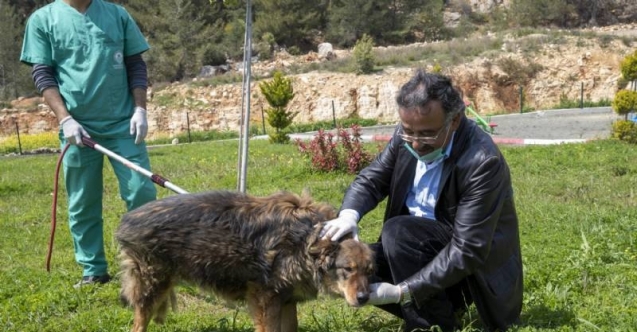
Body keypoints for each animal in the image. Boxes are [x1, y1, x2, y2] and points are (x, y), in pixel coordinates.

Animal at [115, 189, 372, 332]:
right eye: (347, 269)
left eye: (369, 271)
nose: (364, 298)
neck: (306, 240)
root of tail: (127, 219)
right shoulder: (265, 299)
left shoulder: (287, 299)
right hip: (151, 287)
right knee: (138, 325)